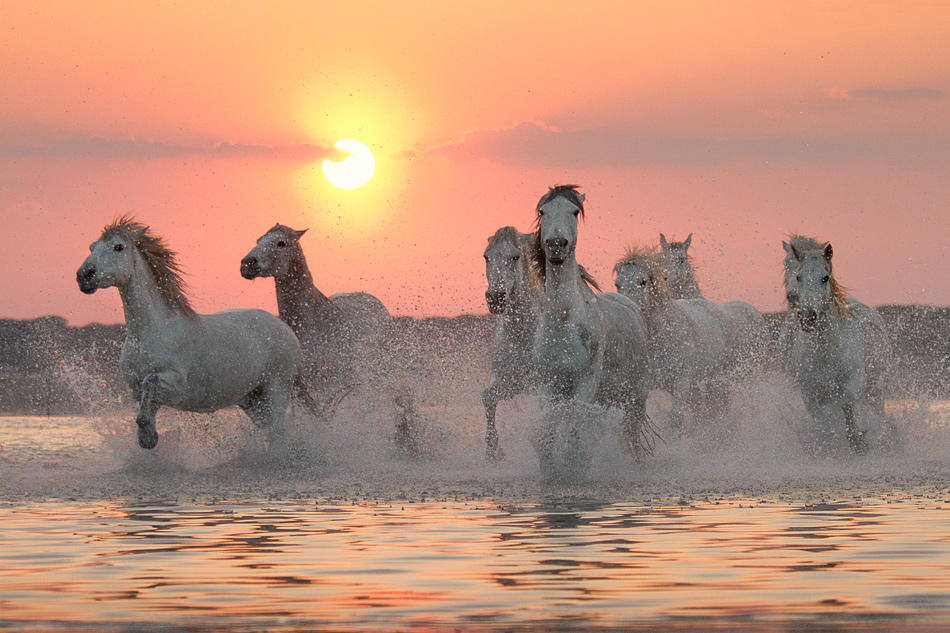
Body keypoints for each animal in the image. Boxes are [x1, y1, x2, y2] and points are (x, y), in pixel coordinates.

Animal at [76, 216, 318, 450]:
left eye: (118, 247)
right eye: (92, 247)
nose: (84, 276)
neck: (151, 331)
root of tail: (287, 330)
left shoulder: (176, 383)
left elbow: (150, 382)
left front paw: (149, 437)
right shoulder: (136, 391)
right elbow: (144, 406)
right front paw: (147, 438)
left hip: (276, 393)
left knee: (278, 435)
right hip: (251, 400)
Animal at [482, 226, 542, 462]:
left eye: (515, 257)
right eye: (486, 256)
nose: (495, 298)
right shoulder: (510, 381)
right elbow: (488, 397)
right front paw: (493, 450)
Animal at [529, 185, 651, 479]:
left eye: (574, 211)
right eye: (542, 211)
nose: (556, 244)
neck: (563, 323)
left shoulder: (585, 383)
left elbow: (576, 430)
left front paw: (574, 470)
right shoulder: (549, 385)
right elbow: (549, 433)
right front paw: (552, 471)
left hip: (637, 395)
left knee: (633, 435)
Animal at [614, 246, 737, 434]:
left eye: (643, 281)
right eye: (617, 284)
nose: (627, 312)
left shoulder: (681, 381)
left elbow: (675, 419)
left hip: (716, 377)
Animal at [786, 240, 892, 454]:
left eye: (825, 277)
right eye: (799, 277)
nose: (807, 317)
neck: (825, 352)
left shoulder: (855, 382)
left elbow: (847, 403)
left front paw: (858, 441)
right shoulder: (810, 394)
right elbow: (821, 422)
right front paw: (827, 445)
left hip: (875, 390)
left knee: (878, 413)